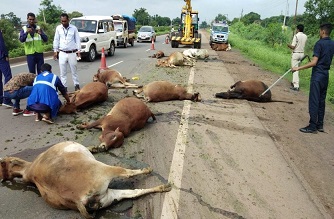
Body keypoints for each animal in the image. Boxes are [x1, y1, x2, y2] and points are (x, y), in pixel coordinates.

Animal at [0, 141, 172, 218]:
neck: (30, 169)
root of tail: (77, 199)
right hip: (106, 171)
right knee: (128, 174)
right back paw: (150, 172)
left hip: (109, 197)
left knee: (135, 192)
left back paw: (163, 187)